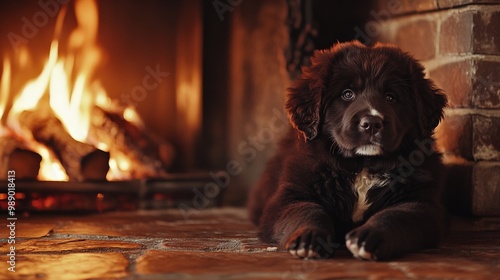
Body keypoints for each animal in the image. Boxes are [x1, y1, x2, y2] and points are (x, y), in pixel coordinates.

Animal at [248, 41, 448, 260]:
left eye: (390, 97)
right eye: (347, 94)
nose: (371, 123)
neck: (362, 166)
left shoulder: (421, 203)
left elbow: (395, 215)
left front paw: (368, 237)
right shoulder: (290, 196)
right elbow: (309, 211)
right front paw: (308, 237)